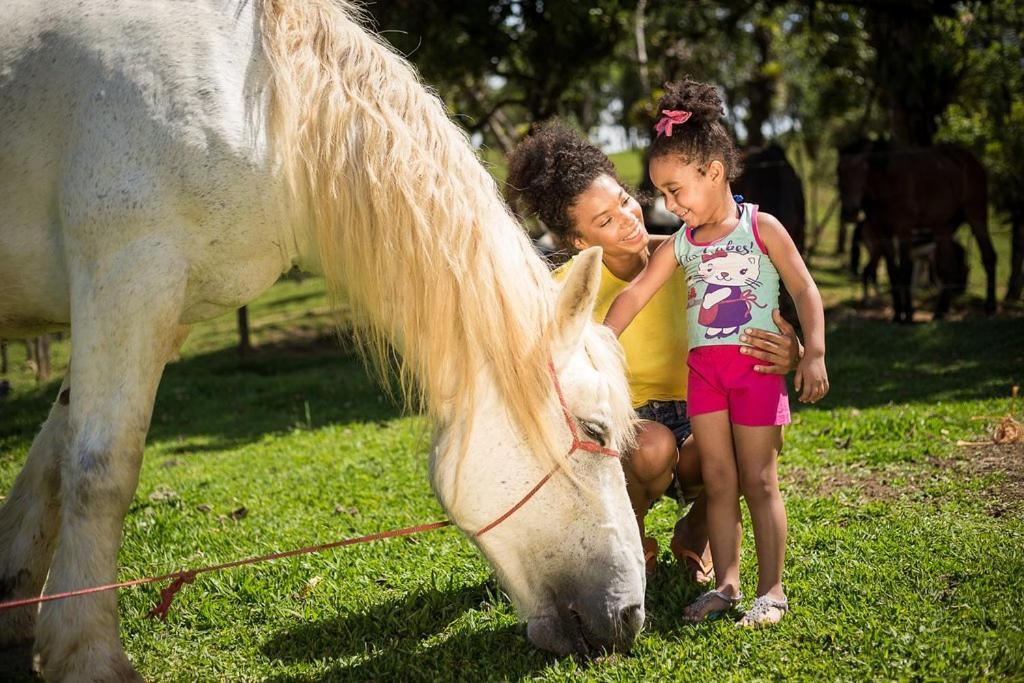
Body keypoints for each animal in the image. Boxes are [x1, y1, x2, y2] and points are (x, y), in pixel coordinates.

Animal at [0, 0, 638, 679]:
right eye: (595, 431)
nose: (631, 618)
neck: (265, 106)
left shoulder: (157, 310)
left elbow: (51, 464)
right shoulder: (128, 275)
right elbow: (100, 472)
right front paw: (89, 655)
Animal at [835, 141, 995, 323]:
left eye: (863, 169)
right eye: (839, 170)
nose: (850, 212)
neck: (887, 184)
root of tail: (973, 161)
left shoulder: (904, 231)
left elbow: (905, 272)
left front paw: (908, 316)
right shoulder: (884, 232)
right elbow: (893, 272)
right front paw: (898, 314)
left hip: (976, 213)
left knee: (989, 256)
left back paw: (989, 308)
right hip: (945, 227)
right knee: (949, 267)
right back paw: (939, 311)